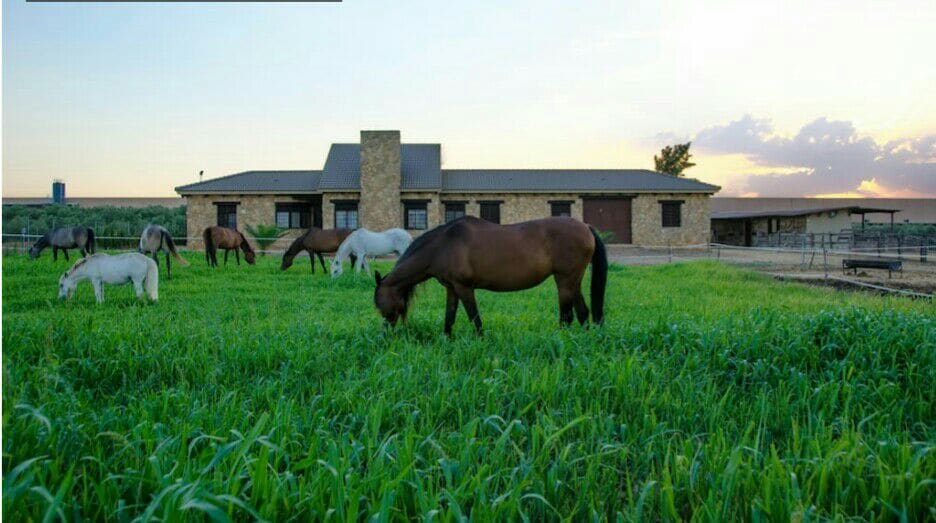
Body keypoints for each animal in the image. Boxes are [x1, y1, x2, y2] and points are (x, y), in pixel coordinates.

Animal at [372, 216, 608, 336]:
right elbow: (449, 316)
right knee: (583, 313)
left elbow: (474, 317)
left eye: (379, 304)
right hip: (573, 281)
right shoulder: (451, 288)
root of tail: (585, 226)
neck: (443, 244)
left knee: (567, 316)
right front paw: (447, 338)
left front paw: (480, 340)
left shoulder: (464, 287)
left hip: (564, 280)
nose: (386, 334)